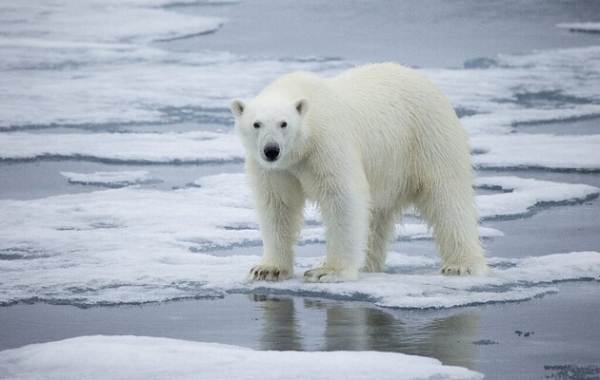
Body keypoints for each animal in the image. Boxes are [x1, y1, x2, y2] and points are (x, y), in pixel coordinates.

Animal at [232, 62, 490, 282]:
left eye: (283, 123)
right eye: (256, 124)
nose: (271, 150)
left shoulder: (327, 145)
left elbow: (342, 198)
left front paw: (328, 271)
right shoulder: (274, 169)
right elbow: (277, 205)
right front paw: (268, 269)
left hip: (428, 138)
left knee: (447, 198)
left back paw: (461, 265)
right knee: (375, 216)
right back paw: (365, 263)